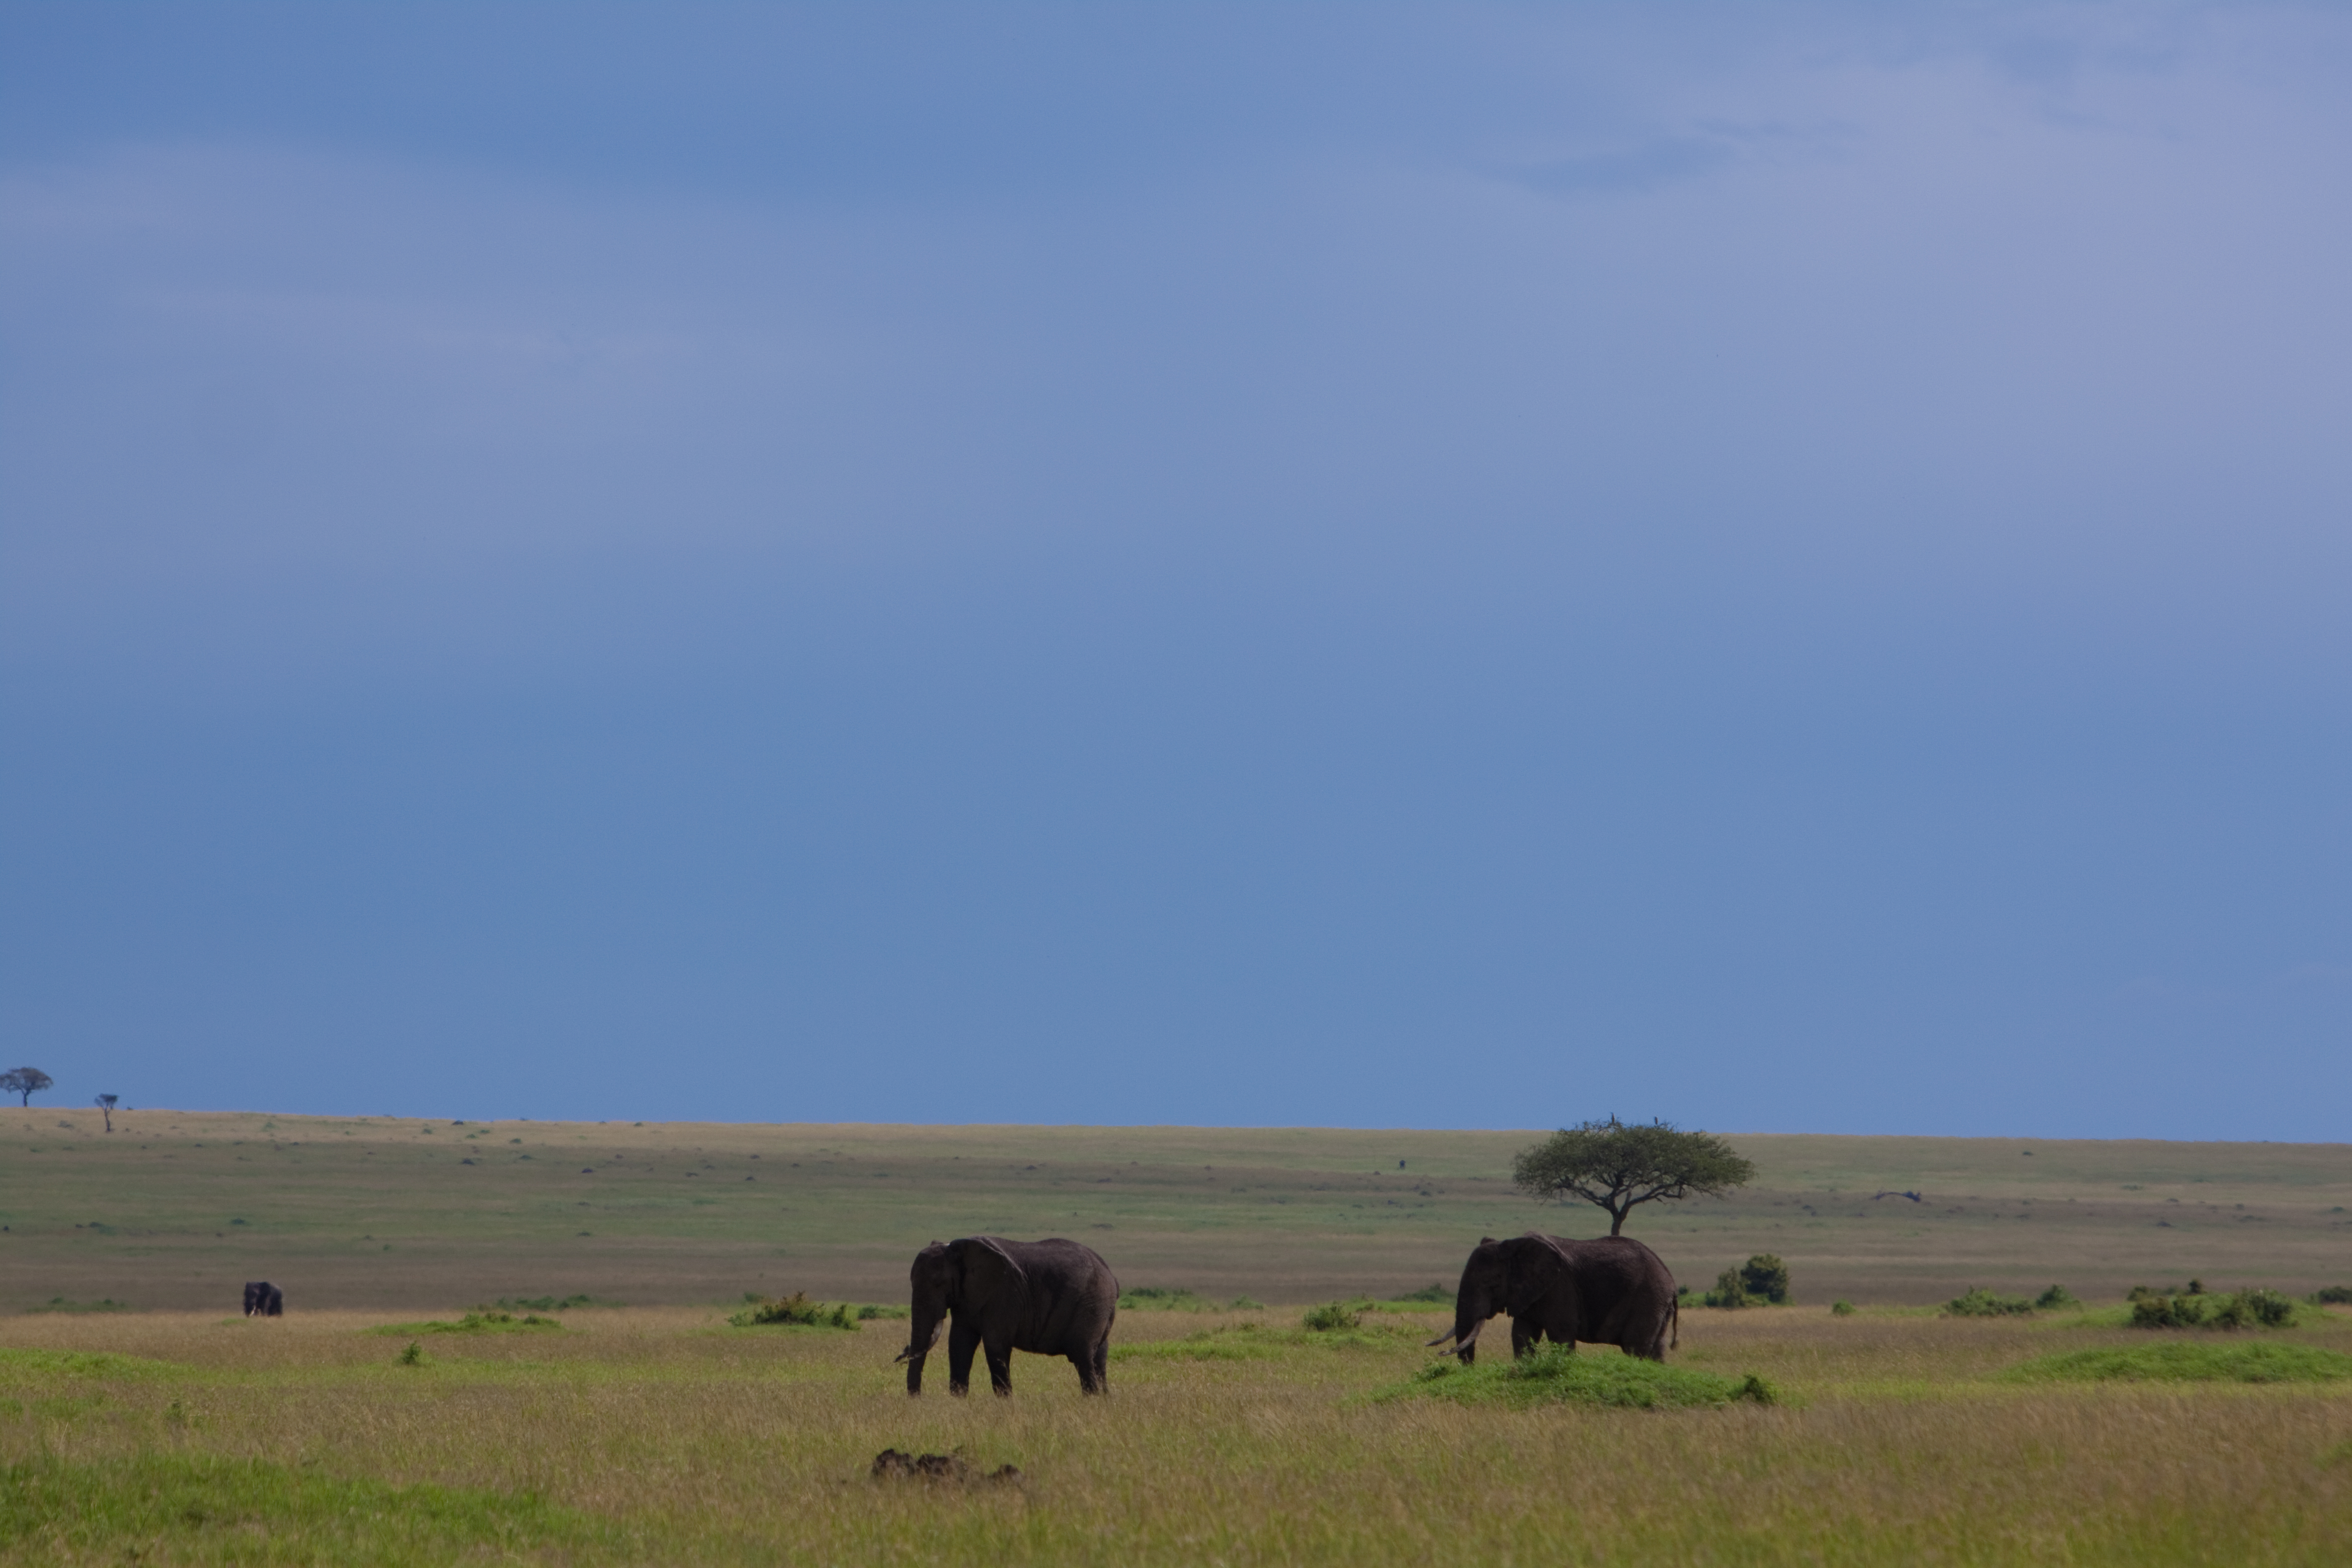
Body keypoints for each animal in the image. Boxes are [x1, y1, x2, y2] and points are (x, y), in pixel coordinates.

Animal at [895, 1236, 1118, 1396]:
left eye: (938, 1284)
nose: (917, 1399)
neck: (957, 1249)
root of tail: (1110, 1274)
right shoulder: (966, 1296)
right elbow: (959, 1344)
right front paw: (958, 1401)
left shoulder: (1003, 1294)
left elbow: (995, 1345)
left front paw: (1004, 1403)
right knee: (1100, 1356)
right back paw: (1104, 1399)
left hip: (1092, 1303)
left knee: (1083, 1356)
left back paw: (1092, 1399)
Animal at [1427, 1233, 1677, 1363]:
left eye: (1492, 1285)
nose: (1471, 1369)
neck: (1512, 1246)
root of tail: (1671, 1281)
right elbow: (1522, 1335)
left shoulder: (1559, 1286)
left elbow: (1561, 1334)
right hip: (1657, 1303)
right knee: (1656, 1349)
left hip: (1648, 1297)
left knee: (1636, 1347)